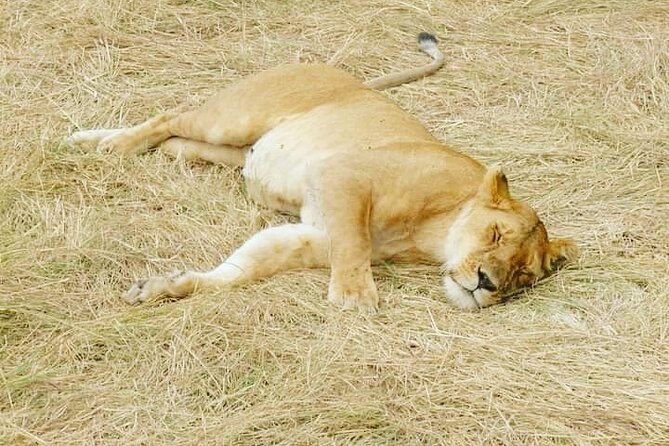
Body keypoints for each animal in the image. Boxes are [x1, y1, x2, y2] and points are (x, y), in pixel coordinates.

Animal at [66, 33, 577, 313]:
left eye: (522, 275)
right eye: (494, 235)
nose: (487, 283)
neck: (432, 236)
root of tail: (352, 78)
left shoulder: (312, 236)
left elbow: (241, 269)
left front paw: (164, 287)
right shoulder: (343, 175)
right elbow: (354, 246)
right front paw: (355, 297)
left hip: (227, 151)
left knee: (176, 140)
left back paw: (86, 141)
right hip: (234, 118)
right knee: (171, 114)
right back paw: (107, 145)